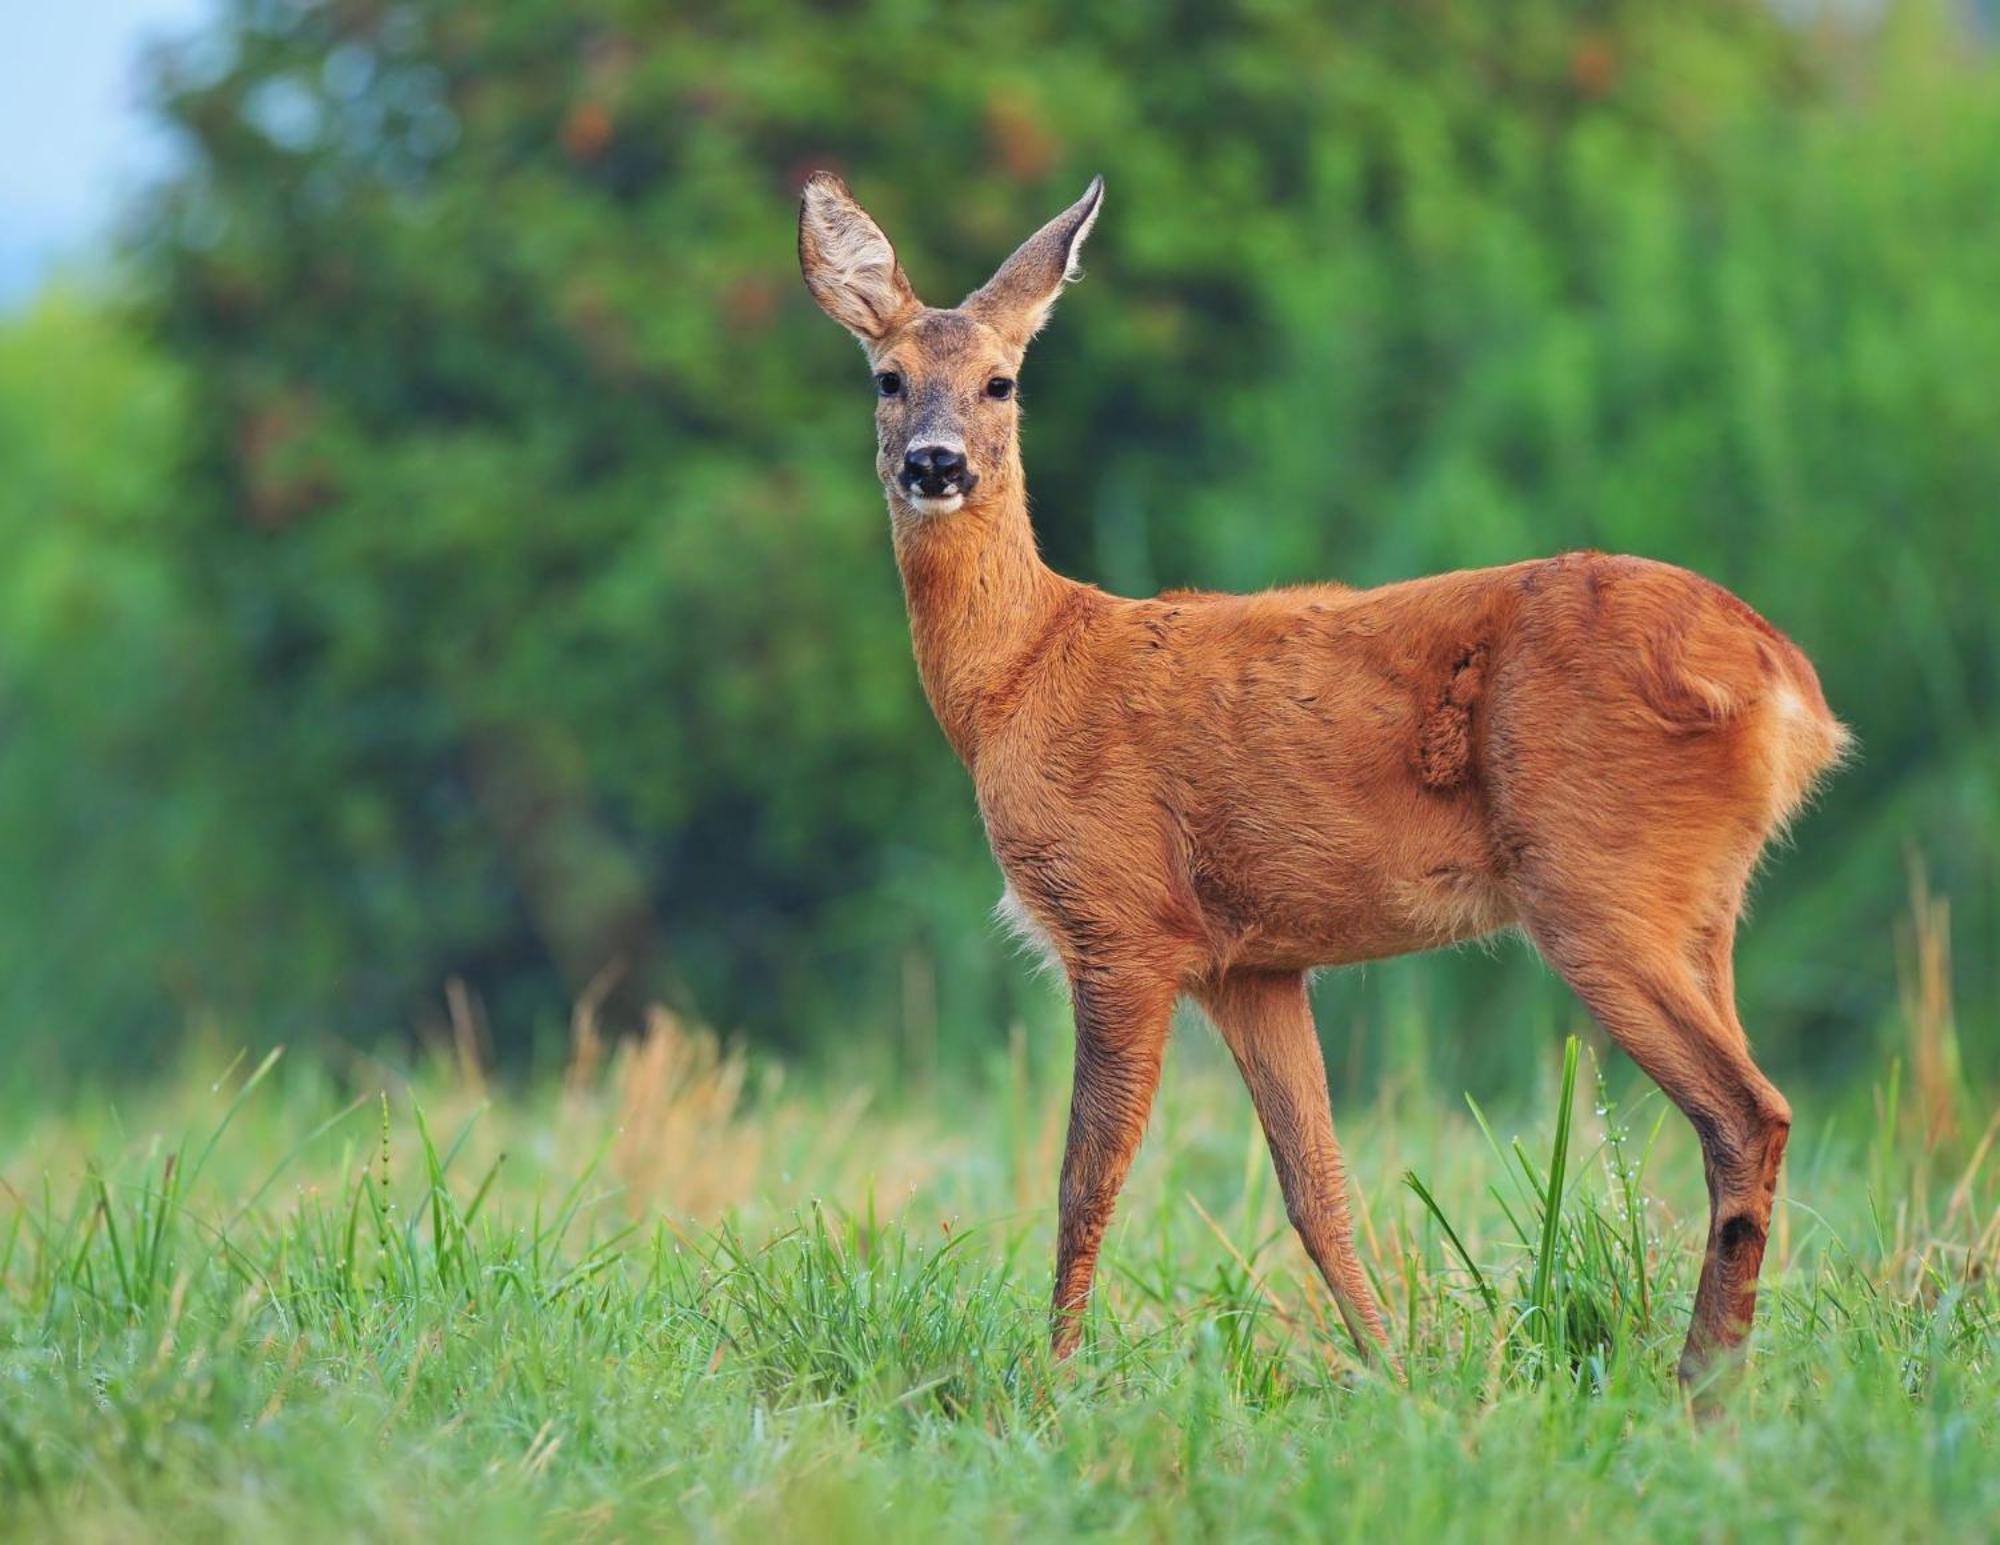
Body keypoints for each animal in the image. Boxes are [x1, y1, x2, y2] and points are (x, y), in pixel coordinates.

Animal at [792, 169, 1840, 1384]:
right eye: (888, 377)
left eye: (1001, 381)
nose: (935, 462)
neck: (1022, 673)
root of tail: (1786, 685)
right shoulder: (1252, 962)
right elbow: (1318, 1187)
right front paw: (1394, 1376)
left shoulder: (1120, 919)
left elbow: (1084, 1179)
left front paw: (1054, 1381)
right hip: (1702, 901)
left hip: (1594, 879)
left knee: (1746, 1111)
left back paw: (1698, 1385)